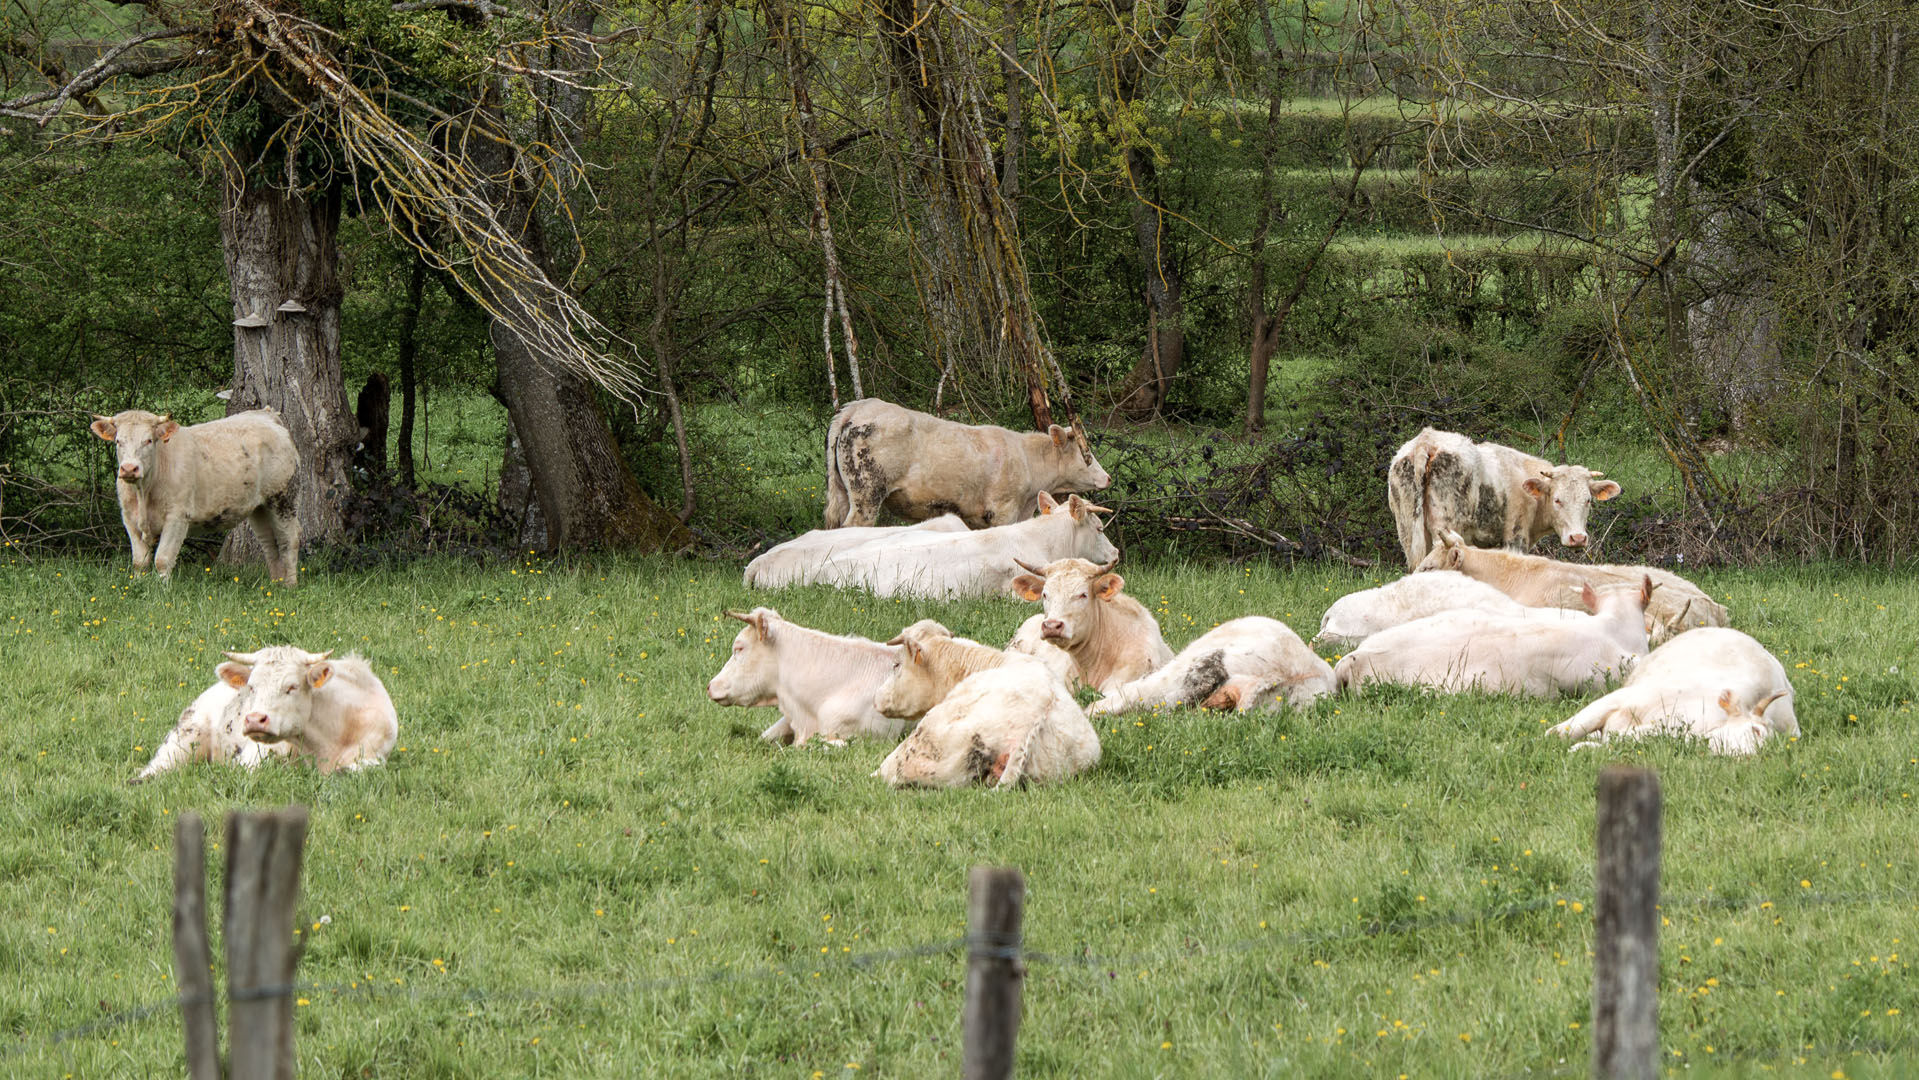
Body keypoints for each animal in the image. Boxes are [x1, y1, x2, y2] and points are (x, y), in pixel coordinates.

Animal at [90, 408, 301, 585]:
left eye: (148, 440)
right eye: (119, 441)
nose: (129, 469)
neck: (144, 492)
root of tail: (266, 415)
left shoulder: (177, 517)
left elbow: (163, 559)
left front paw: (162, 591)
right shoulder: (129, 519)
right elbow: (139, 562)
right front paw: (138, 586)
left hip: (283, 498)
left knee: (288, 540)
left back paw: (289, 585)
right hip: (259, 507)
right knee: (269, 544)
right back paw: (275, 583)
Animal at [823, 398, 1111, 529]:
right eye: (1086, 453)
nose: (1107, 477)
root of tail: (859, 406)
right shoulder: (1003, 509)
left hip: (842, 491)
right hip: (867, 493)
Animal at [1387, 427, 1620, 568]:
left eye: (1588, 500)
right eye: (1557, 500)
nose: (1578, 538)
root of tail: (1426, 439)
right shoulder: (1516, 536)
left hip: (1407, 530)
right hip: (1445, 525)